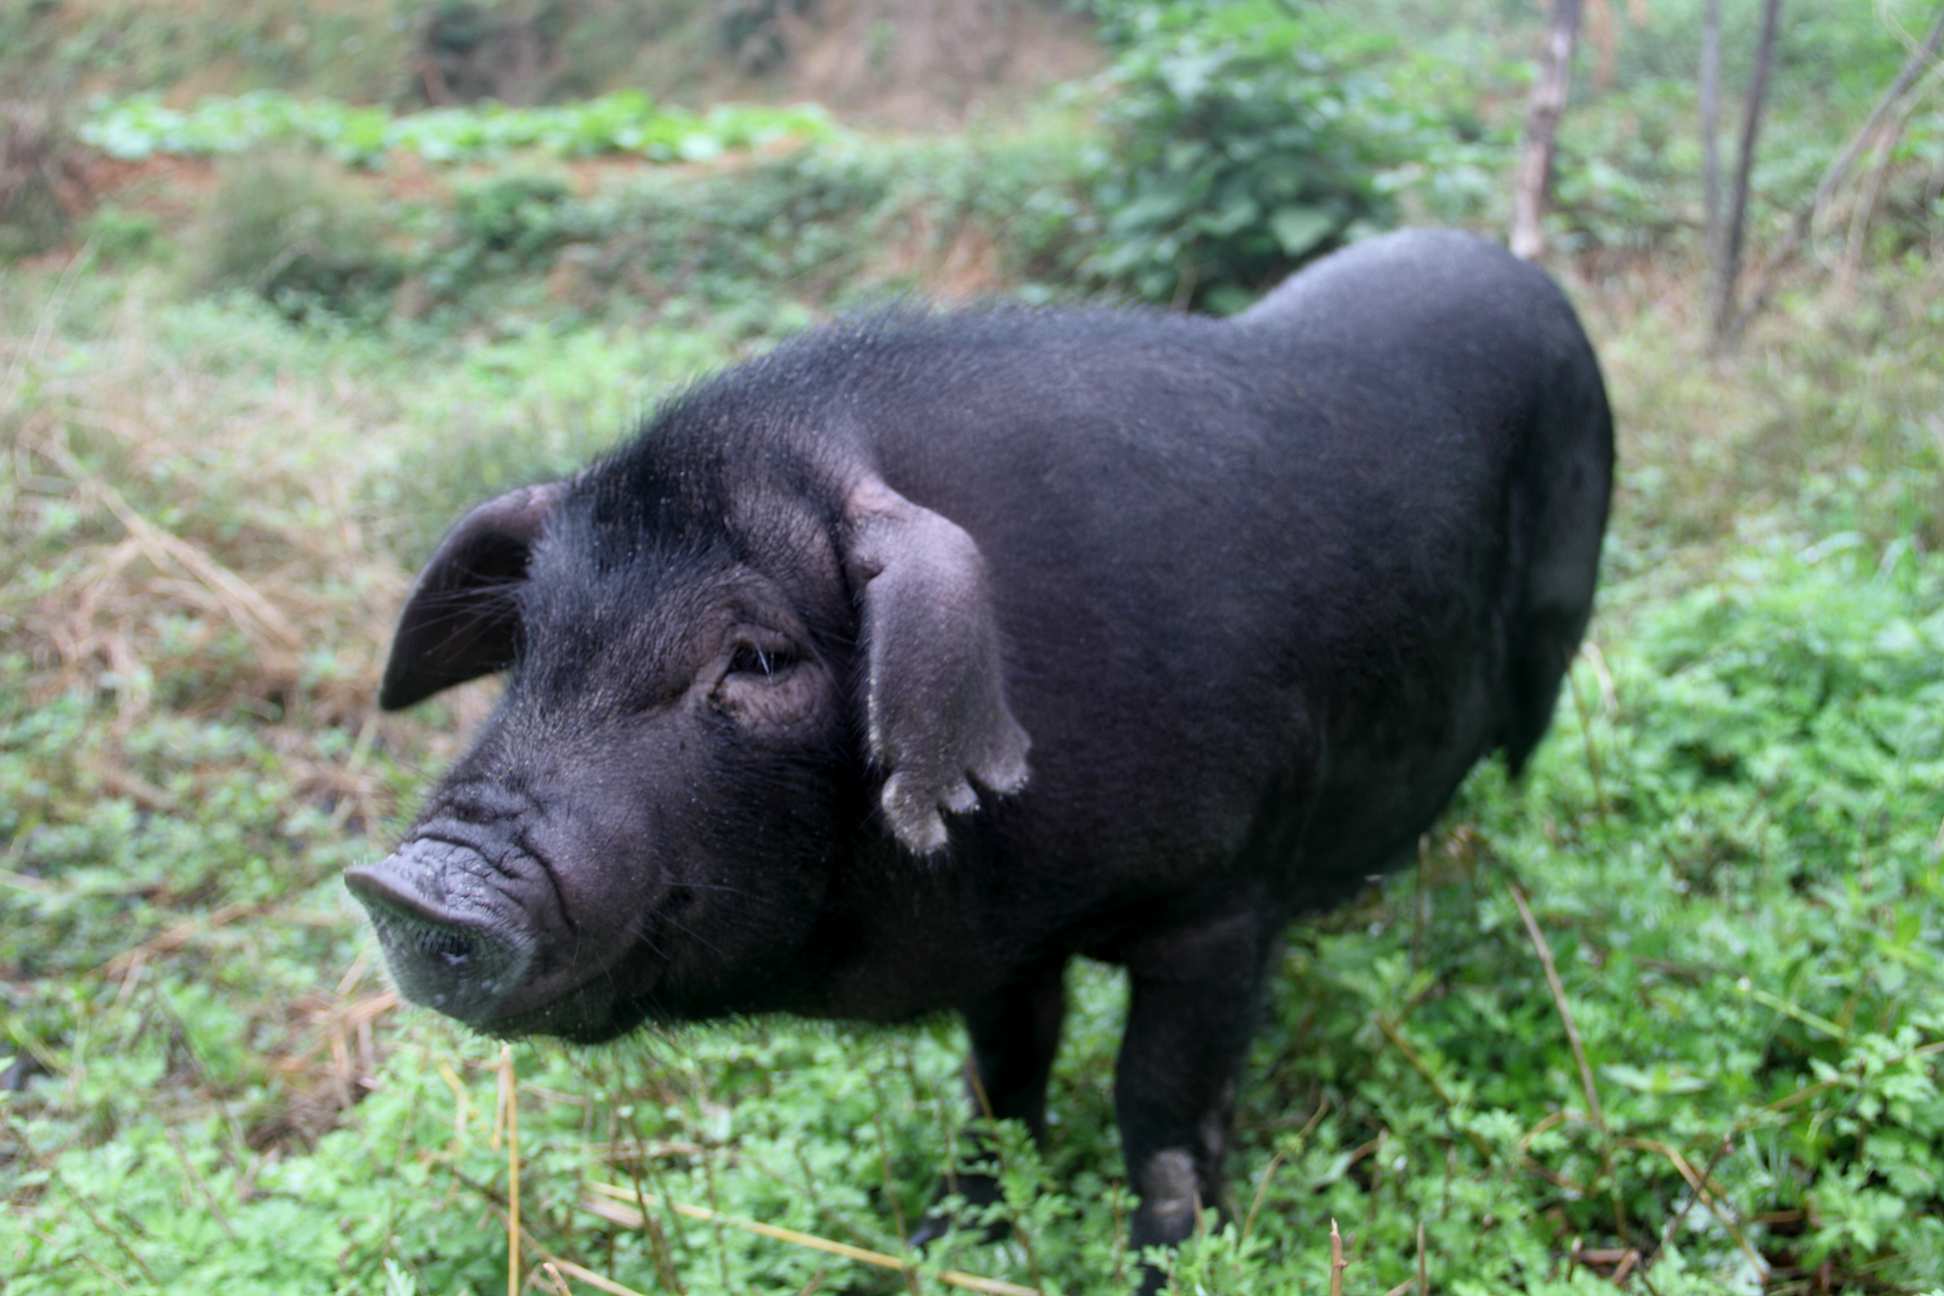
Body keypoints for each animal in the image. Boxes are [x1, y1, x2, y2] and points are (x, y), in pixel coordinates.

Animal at [349, 230, 1609, 1266]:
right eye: (534, 633)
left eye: (757, 659)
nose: (416, 881)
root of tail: (1521, 266)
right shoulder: (1010, 949)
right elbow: (1003, 1078)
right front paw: (941, 1238)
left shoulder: (1221, 903)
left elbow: (1158, 1107)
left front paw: (1170, 1264)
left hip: (1561, 615)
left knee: (1522, 751)